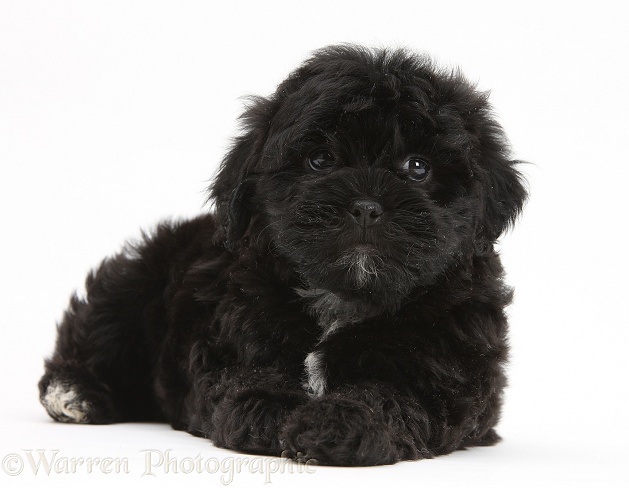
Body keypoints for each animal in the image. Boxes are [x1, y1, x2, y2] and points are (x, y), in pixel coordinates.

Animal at [39, 44, 524, 466]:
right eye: (320, 160)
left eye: (418, 167)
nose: (366, 206)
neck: (344, 297)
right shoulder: (229, 333)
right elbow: (246, 375)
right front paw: (268, 408)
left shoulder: (450, 373)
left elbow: (390, 396)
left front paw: (340, 422)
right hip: (136, 283)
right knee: (103, 327)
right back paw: (74, 391)